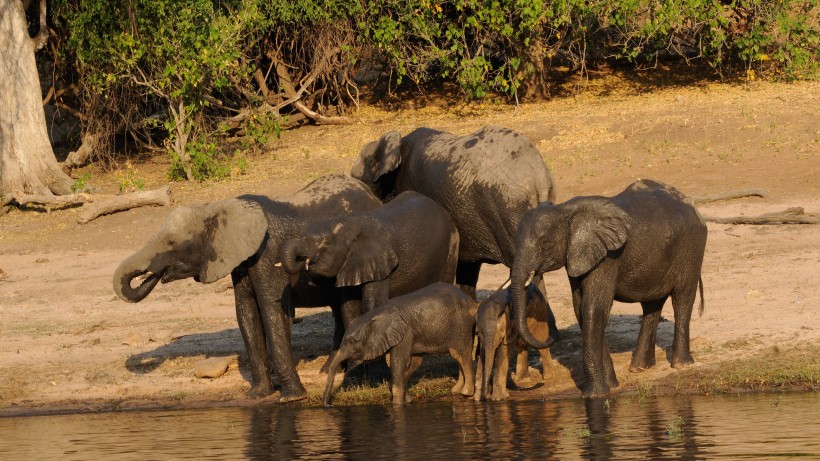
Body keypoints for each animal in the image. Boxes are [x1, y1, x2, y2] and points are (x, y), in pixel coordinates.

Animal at [112, 174, 382, 400]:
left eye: (170, 243)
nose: (151, 276)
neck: (217, 207)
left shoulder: (267, 252)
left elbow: (271, 309)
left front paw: (292, 398)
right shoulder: (241, 259)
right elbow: (246, 312)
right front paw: (257, 395)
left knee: (346, 306)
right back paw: (328, 369)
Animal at [282, 190, 462, 316]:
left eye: (325, 243)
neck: (349, 224)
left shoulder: (381, 263)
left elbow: (372, 306)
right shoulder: (350, 264)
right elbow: (350, 308)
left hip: (451, 246)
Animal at [322, 282, 478, 404]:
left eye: (351, 342)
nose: (328, 404)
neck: (375, 314)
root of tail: (471, 302)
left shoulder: (406, 332)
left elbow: (399, 361)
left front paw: (397, 404)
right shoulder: (412, 334)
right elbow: (413, 363)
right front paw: (408, 399)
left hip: (461, 324)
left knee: (460, 353)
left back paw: (466, 392)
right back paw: (456, 390)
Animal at [510, 179, 708, 396]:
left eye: (545, 244)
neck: (564, 210)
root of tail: (694, 206)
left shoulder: (607, 256)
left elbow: (592, 308)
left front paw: (595, 395)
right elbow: (581, 309)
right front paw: (612, 385)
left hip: (692, 247)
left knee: (682, 297)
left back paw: (681, 364)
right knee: (652, 305)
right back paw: (639, 367)